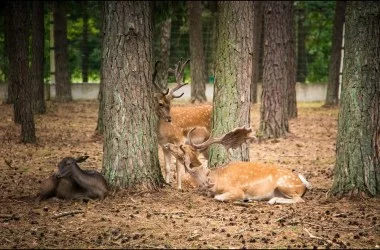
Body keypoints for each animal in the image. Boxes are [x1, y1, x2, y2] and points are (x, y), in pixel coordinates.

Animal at [152, 59, 211, 188]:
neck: (164, 133)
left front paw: (178, 187)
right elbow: (168, 168)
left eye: (170, 103)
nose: (169, 118)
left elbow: (178, 166)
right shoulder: (163, 146)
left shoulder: (179, 140)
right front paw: (167, 183)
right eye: (160, 103)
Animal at [163, 127, 312, 203]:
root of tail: (302, 182)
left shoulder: (236, 190)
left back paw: (271, 200)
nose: (167, 144)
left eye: (181, 147)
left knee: (299, 200)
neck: (213, 178)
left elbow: (219, 197)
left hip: (285, 184)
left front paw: (245, 199)